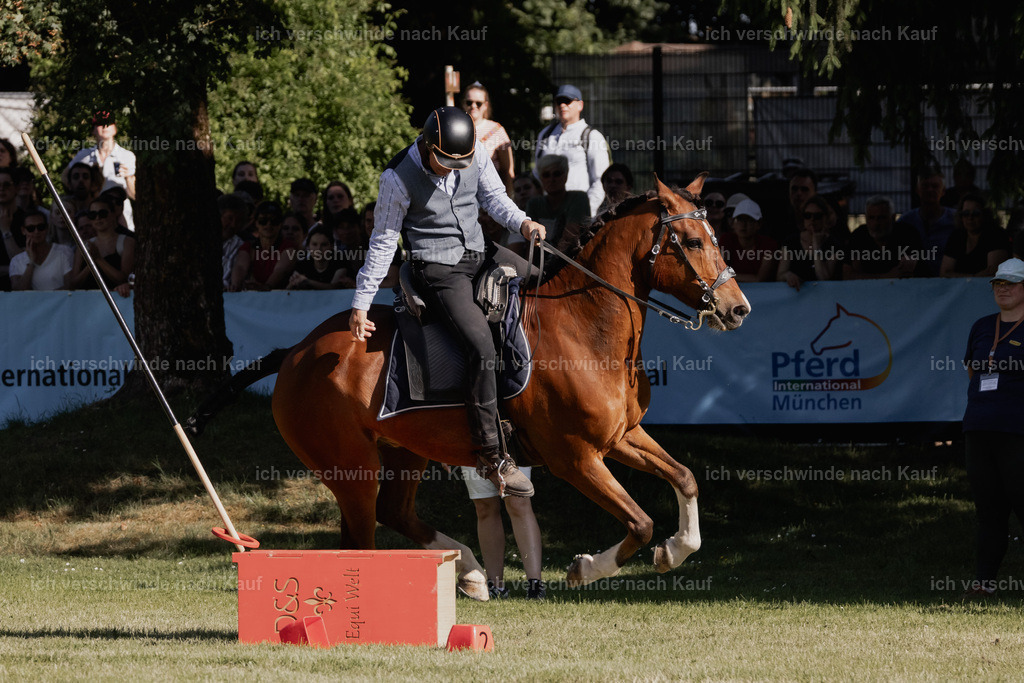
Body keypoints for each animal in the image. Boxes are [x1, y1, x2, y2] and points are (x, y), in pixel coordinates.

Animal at [192, 174, 750, 600]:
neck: (586, 327)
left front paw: (675, 550)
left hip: (404, 452)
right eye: (693, 242)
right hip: (353, 469)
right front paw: (585, 567)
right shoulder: (576, 458)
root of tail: (299, 351)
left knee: (395, 513)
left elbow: (684, 479)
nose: (737, 309)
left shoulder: (621, 438)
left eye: (716, 237)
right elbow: (639, 522)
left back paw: (472, 571)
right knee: (364, 534)